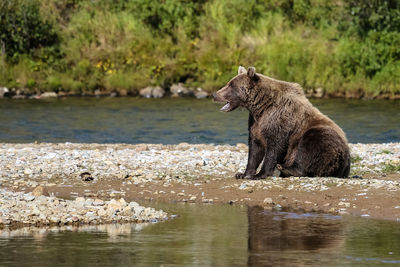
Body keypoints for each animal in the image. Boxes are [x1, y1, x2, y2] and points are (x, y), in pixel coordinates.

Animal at [212, 65, 350, 179]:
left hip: (324, 138)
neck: (261, 106)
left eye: (231, 85)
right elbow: (255, 148)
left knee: (310, 145)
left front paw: (259, 174)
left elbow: (274, 147)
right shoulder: (256, 123)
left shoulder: (279, 119)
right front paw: (243, 174)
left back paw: (287, 169)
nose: (214, 94)